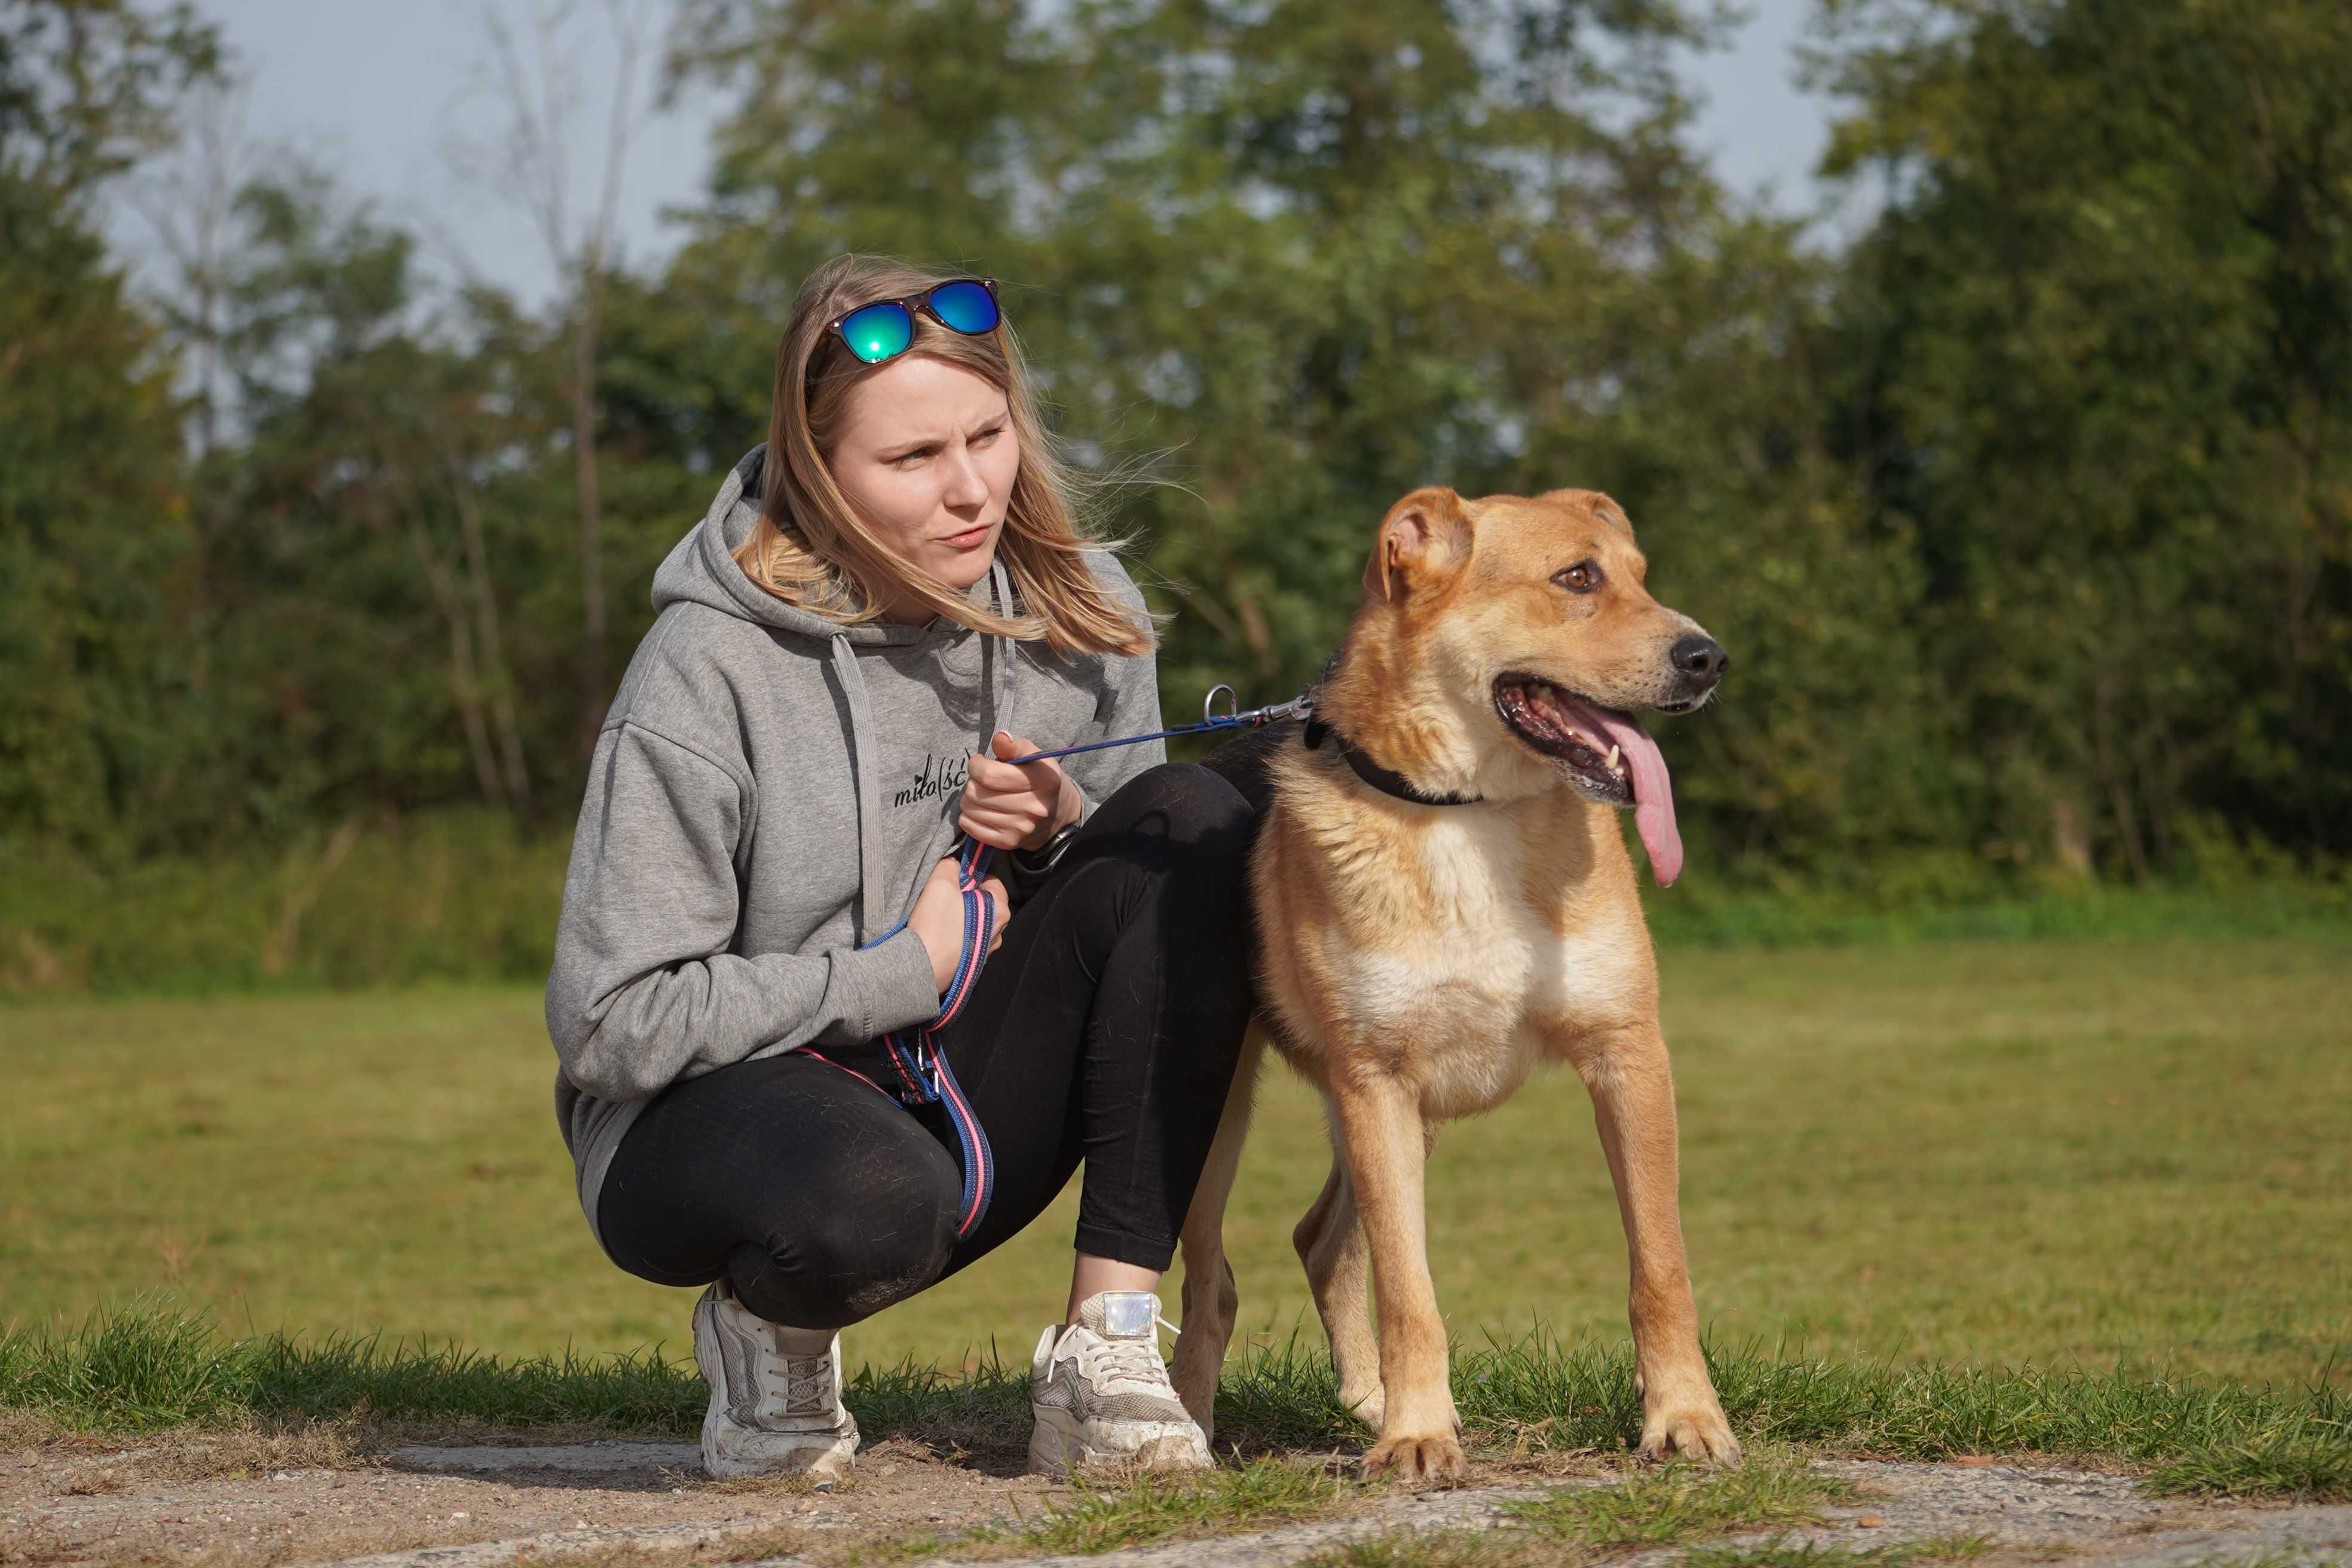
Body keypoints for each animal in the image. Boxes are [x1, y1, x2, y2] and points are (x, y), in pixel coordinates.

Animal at [1176, 486, 1750, 1486]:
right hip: (1225, 1120)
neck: (1471, 813)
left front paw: (1683, 1419)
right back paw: (1189, 1429)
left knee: (1320, 1241)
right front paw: (1418, 1436)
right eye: (1577, 578)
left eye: (1642, 576)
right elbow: (1410, 1291)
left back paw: (1366, 1402)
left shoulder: (1628, 1054)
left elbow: (1660, 1268)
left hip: (1412, 1122)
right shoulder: (1377, 1082)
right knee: (1215, 1282)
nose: (1708, 657)